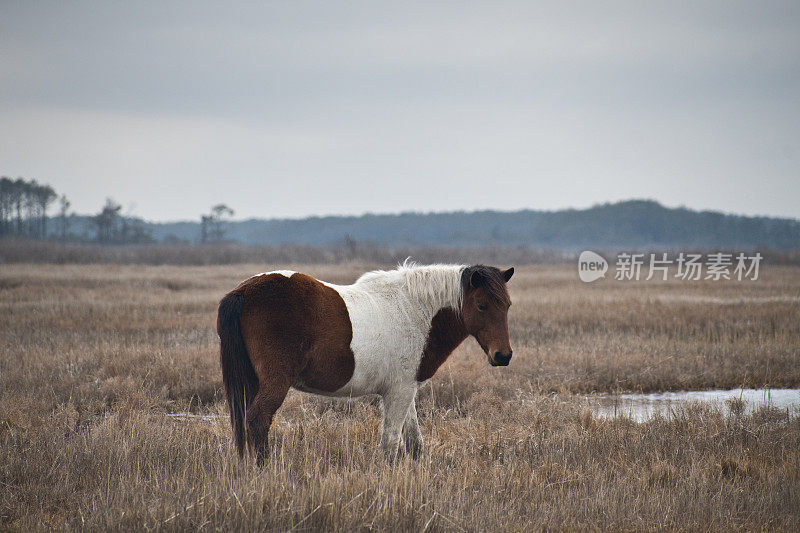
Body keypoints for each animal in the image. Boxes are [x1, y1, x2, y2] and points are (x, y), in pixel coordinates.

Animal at [216, 262, 516, 462]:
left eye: (507, 305)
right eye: (481, 305)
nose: (503, 356)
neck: (414, 310)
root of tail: (243, 291)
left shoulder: (405, 390)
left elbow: (413, 441)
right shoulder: (400, 391)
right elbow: (391, 442)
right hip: (275, 382)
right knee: (258, 419)